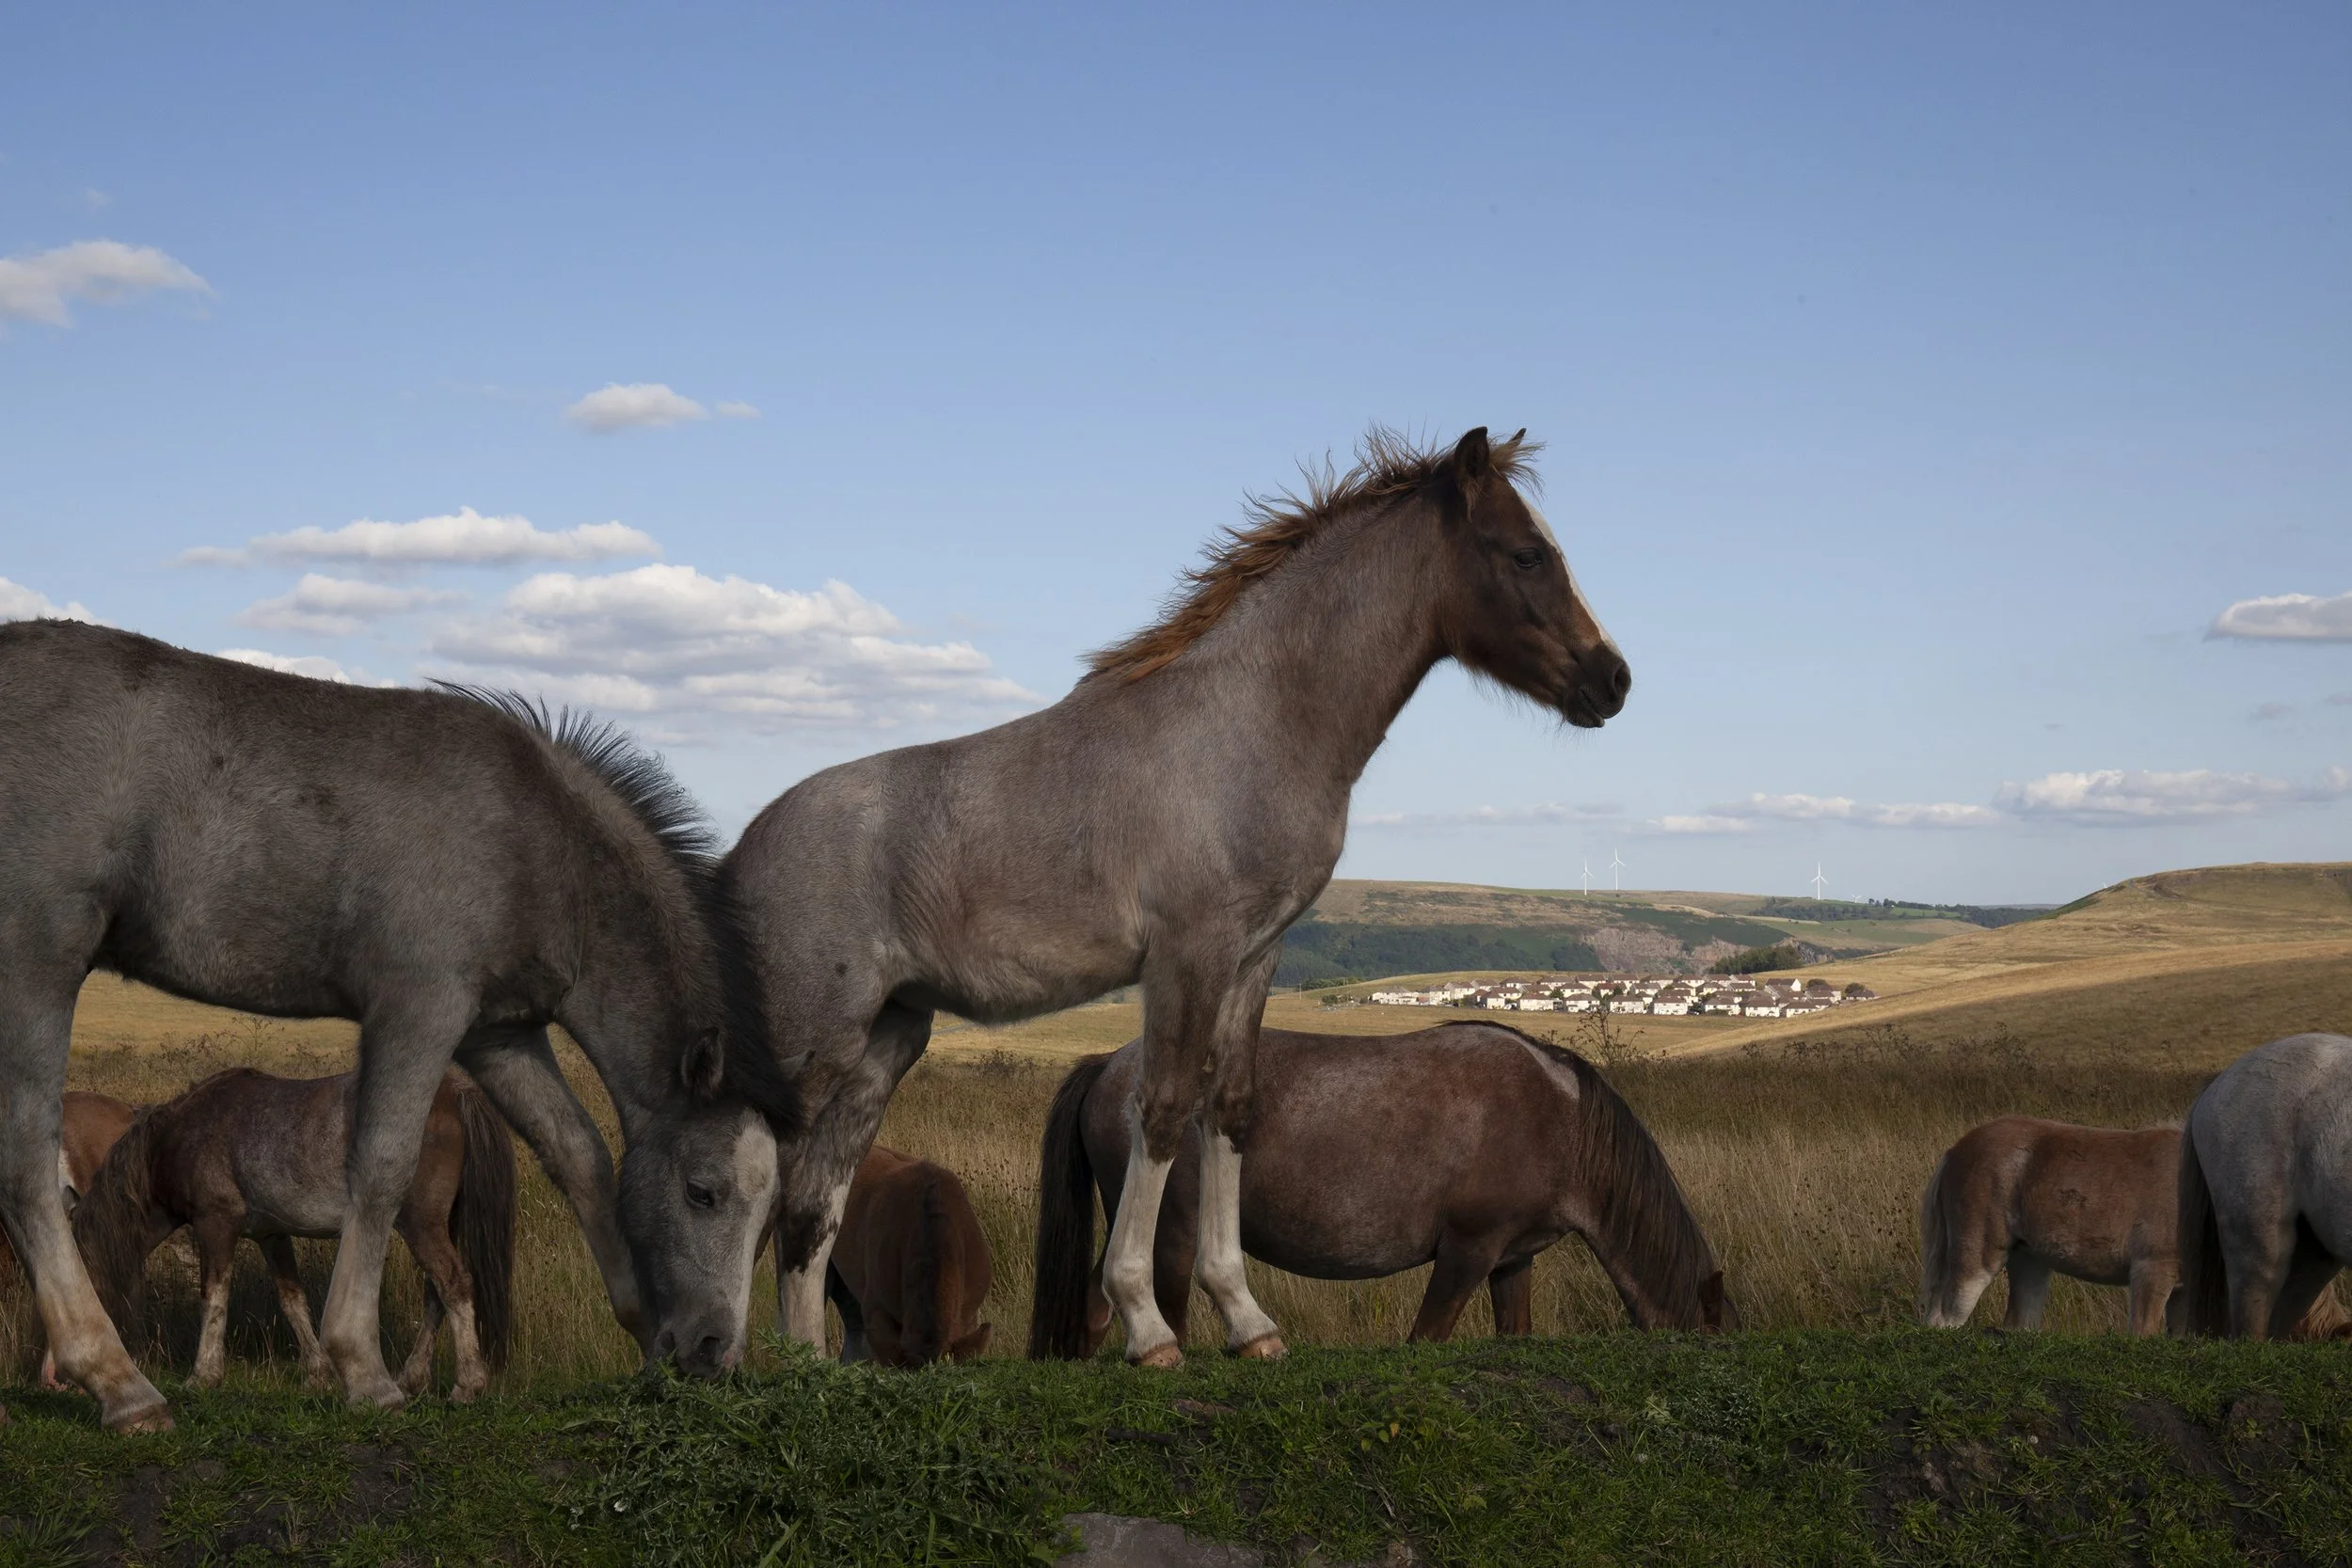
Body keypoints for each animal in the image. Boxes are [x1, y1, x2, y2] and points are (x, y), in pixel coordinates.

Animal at [73, 1067, 515, 1399]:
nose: (65, 1378)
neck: (181, 1136)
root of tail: (455, 1090)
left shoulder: (216, 1223)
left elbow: (213, 1298)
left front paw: (204, 1375)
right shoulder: (272, 1235)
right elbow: (292, 1301)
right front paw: (317, 1373)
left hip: (421, 1223)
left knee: (454, 1284)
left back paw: (468, 1383)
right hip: (440, 1224)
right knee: (436, 1294)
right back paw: (411, 1377)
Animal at [1028, 1022, 1727, 1357]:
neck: (1557, 1116)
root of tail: (1109, 1067)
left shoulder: (1511, 1260)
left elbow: (1514, 1331)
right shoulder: (1467, 1251)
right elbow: (1426, 1337)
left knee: (1094, 1303)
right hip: (1170, 1229)